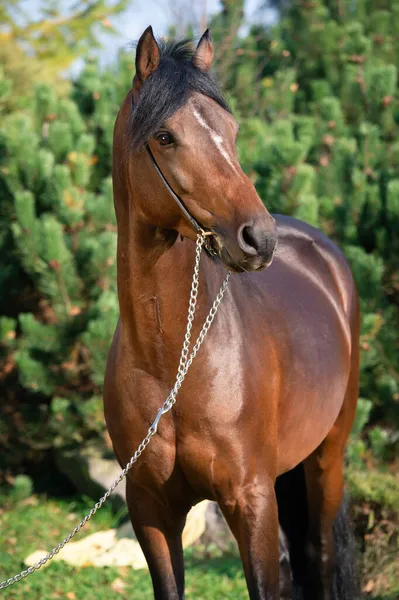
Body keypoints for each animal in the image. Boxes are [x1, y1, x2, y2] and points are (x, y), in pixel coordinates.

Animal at [104, 25, 360, 596]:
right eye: (165, 136)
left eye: (232, 129)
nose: (258, 238)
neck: (172, 363)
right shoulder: (150, 511)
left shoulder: (251, 500)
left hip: (326, 458)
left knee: (320, 555)